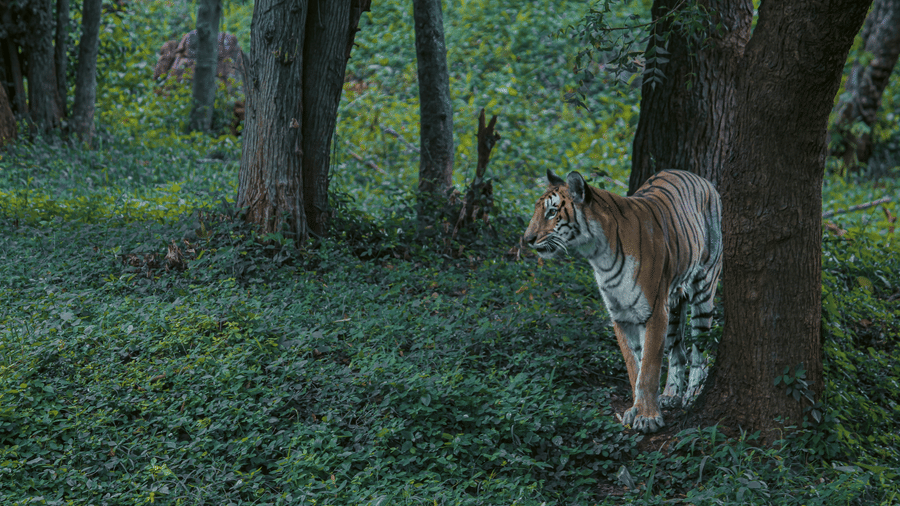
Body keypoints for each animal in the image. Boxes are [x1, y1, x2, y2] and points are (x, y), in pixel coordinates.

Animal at [523, 169, 722, 433]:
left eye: (552, 212)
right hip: (673, 303)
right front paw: (635, 410)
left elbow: (648, 369)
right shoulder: (621, 316)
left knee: (701, 349)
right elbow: (634, 367)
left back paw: (693, 394)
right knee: (678, 351)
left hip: (704, 287)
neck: (598, 254)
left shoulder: (654, 312)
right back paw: (670, 395)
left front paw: (648, 417)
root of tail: (700, 178)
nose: (527, 239)